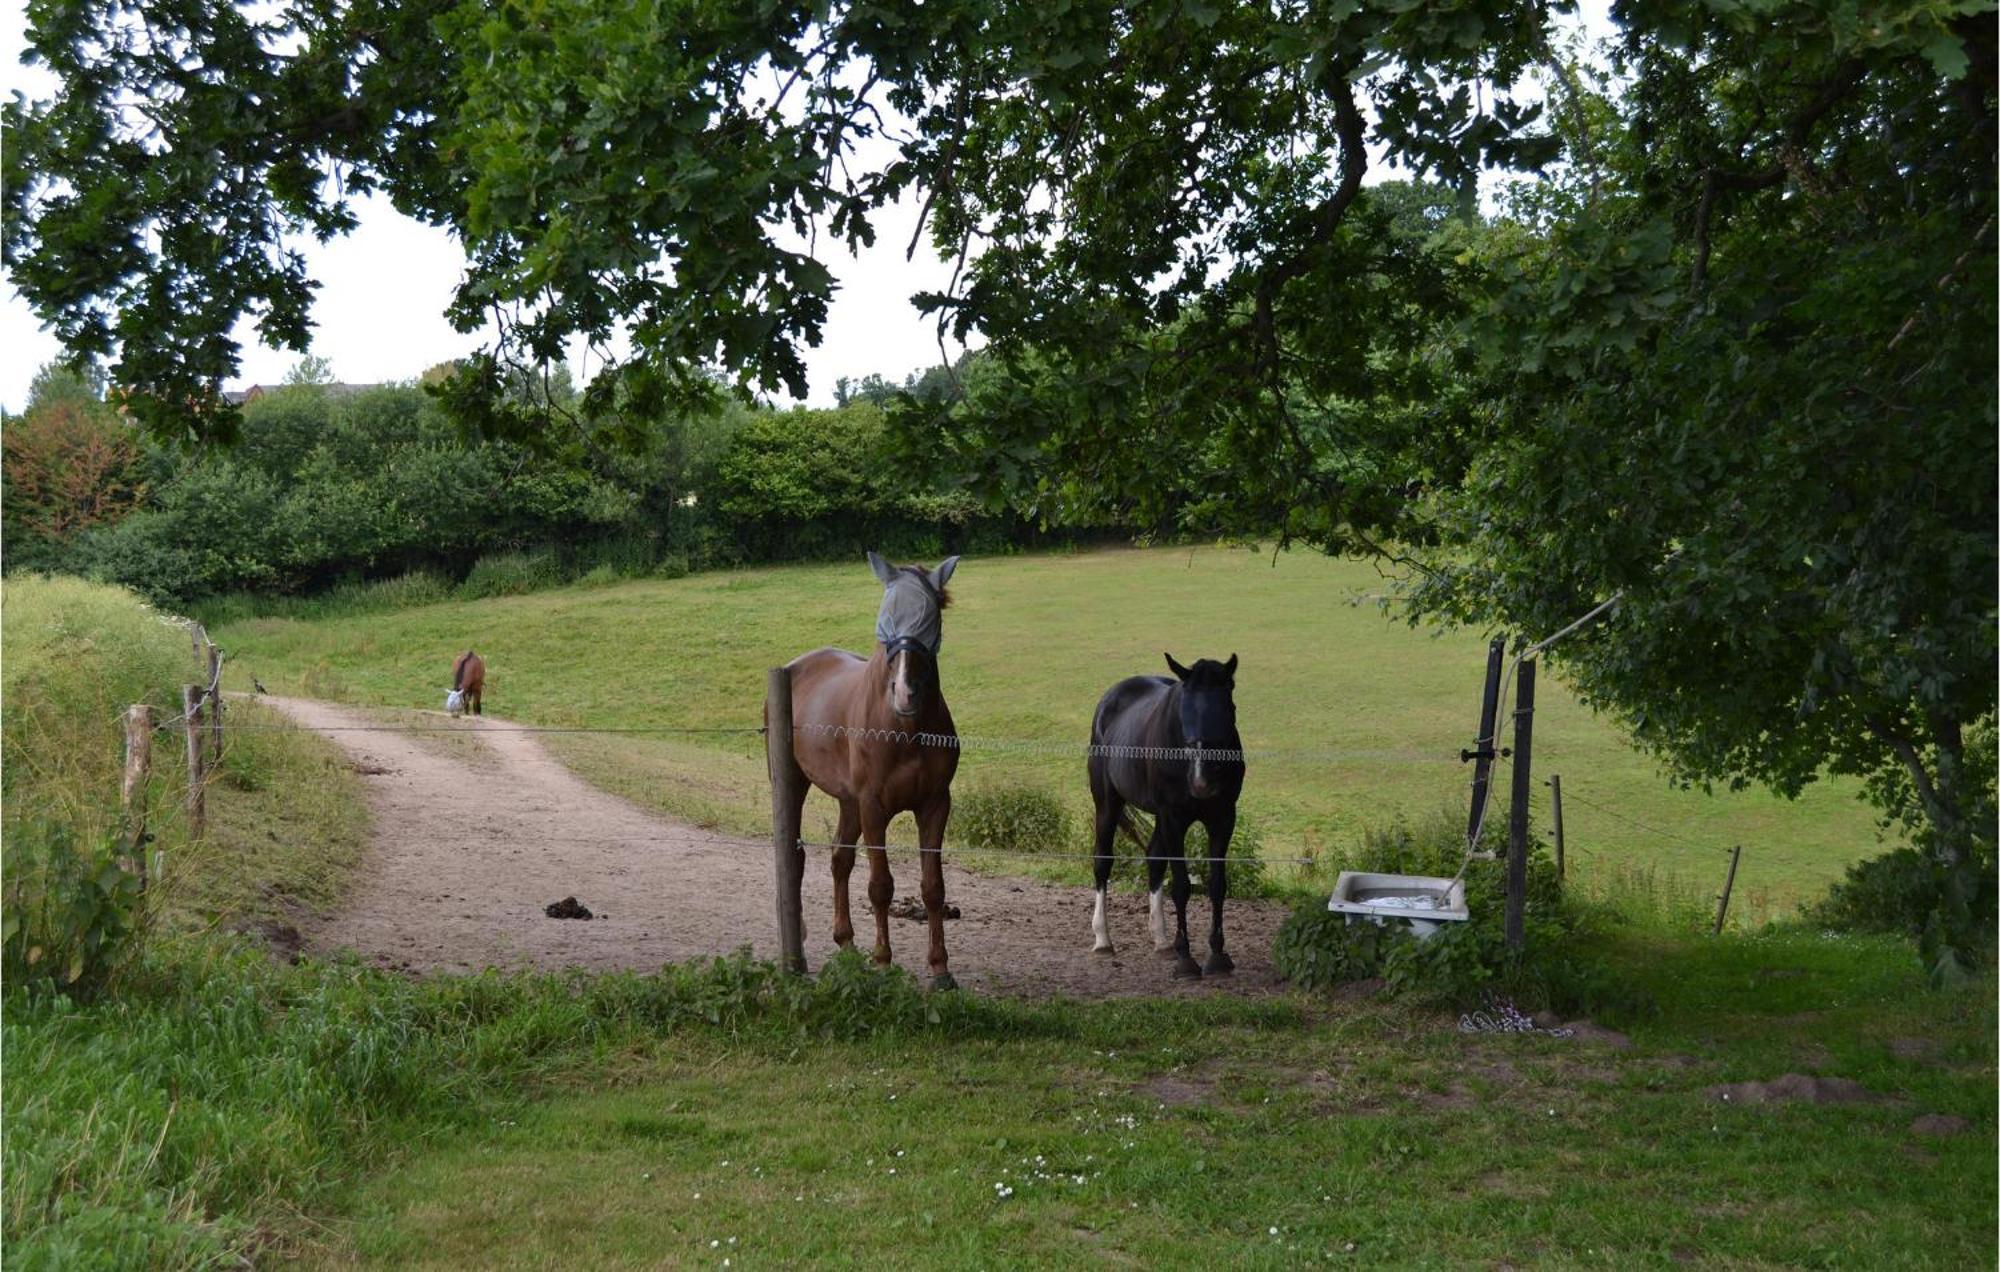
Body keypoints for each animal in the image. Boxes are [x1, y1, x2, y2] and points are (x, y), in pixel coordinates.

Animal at [780, 552, 960, 988]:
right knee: (797, 858)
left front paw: (940, 968)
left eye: (930, 617)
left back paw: (845, 943)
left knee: (839, 860)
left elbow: (933, 887)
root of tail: (797, 664)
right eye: (886, 617)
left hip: (849, 803)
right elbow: (881, 886)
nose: (905, 692)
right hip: (796, 783)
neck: (905, 729)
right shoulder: (874, 807)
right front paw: (882, 961)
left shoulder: (934, 805)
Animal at [1088, 652, 1240, 980]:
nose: (1202, 780)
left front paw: (1217, 955)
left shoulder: (1223, 819)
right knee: (1102, 861)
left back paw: (1161, 939)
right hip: (1108, 804)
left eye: (1228, 707)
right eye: (1183, 713)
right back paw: (1103, 938)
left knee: (1154, 858)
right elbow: (1181, 887)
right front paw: (1186, 959)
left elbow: (1217, 885)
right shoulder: (1174, 818)